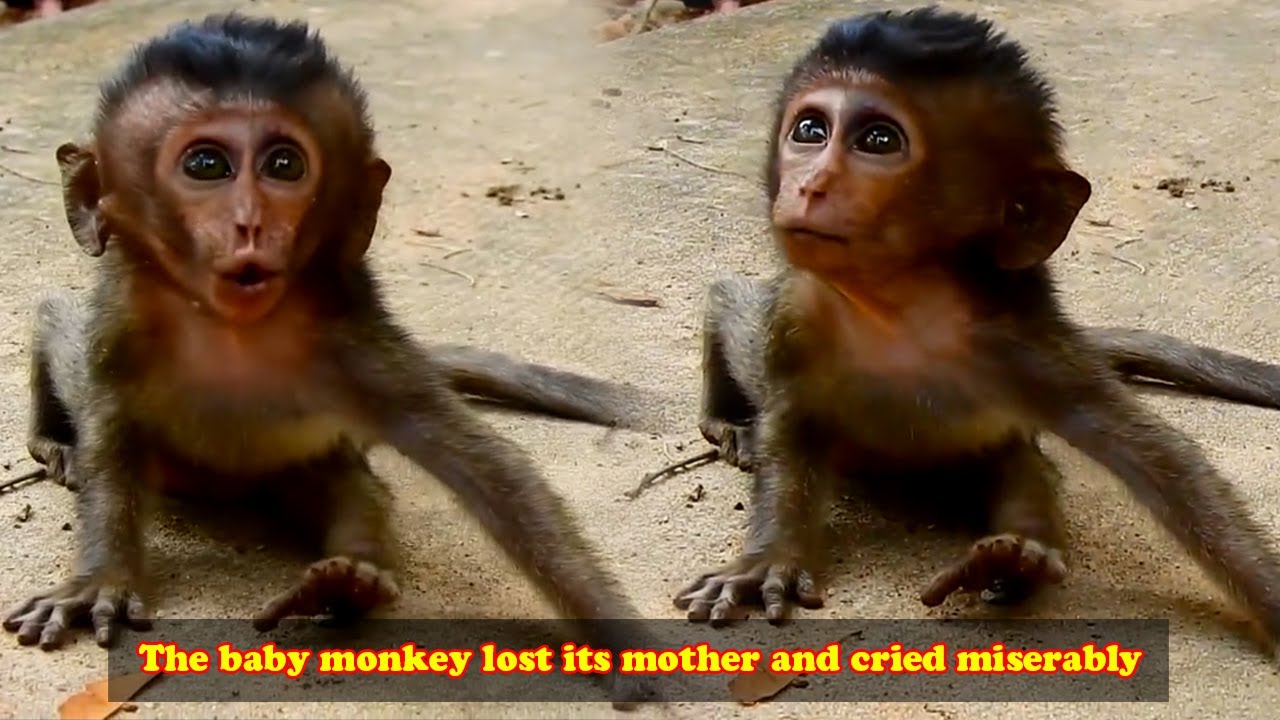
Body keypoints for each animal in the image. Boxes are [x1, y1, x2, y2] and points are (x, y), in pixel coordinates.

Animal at [0, 14, 657, 709]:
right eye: (206, 165)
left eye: (284, 165)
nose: (250, 224)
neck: (232, 331)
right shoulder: (121, 329)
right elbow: (109, 437)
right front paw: (99, 580)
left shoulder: (356, 345)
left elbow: (490, 471)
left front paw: (619, 640)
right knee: (57, 327)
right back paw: (54, 441)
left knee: (348, 485)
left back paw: (349, 579)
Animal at [672, 7, 1280, 660]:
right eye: (810, 130)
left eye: (878, 141)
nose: (810, 186)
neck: (899, 309)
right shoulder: (799, 311)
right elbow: (788, 422)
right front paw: (765, 561)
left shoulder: (1022, 343)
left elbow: (1158, 461)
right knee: (730, 307)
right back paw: (729, 419)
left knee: (1016, 460)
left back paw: (1017, 557)